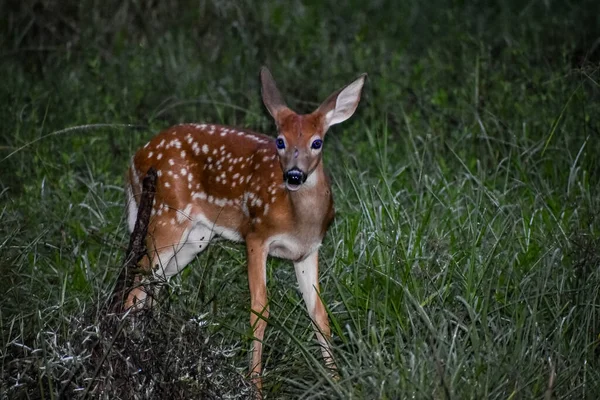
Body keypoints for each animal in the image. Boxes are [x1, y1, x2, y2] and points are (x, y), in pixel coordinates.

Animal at [123, 67, 366, 390]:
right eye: (279, 141)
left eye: (317, 142)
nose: (294, 175)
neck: (298, 221)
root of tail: (134, 160)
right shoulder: (256, 235)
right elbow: (260, 310)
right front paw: (255, 386)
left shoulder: (308, 250)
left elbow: (319, 312)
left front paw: (337, 381)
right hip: (165, 219)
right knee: (137, 281)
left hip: (195, 238)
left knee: (152, 284)